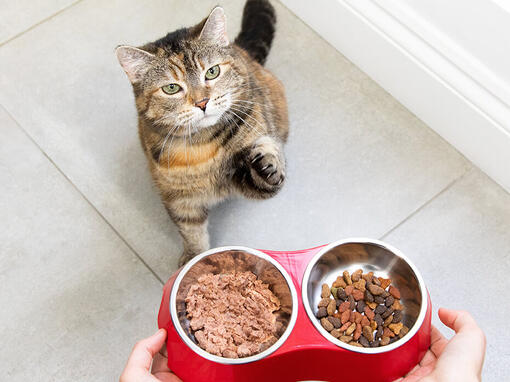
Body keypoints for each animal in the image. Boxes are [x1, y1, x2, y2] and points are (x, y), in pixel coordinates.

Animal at [117, 0, 288, 266]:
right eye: (171, 88)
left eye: (212, 72)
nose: (202, 102)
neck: (204, 145)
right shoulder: (180, 201)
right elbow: (191, 231)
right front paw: (194, 257)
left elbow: (266, 167)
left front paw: (267, 162)